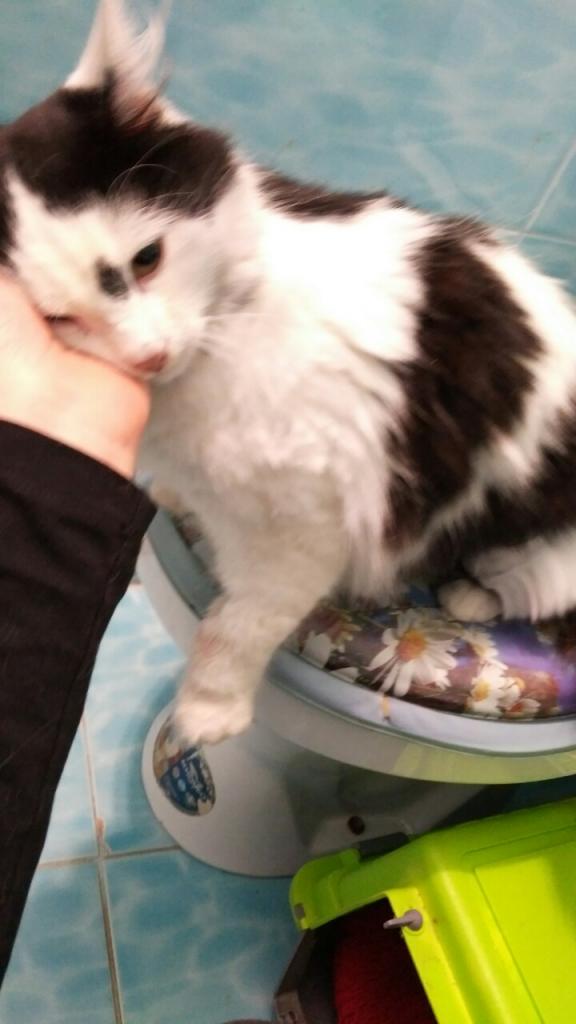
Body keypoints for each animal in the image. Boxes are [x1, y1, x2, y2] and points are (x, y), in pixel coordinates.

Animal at [2, 0, 576, 746]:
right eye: (59, 319)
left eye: (147, 258)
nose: (149, 355)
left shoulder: (310, 520)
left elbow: (241, 622)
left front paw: (209, 709)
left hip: (537, 552)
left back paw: (472, 593)